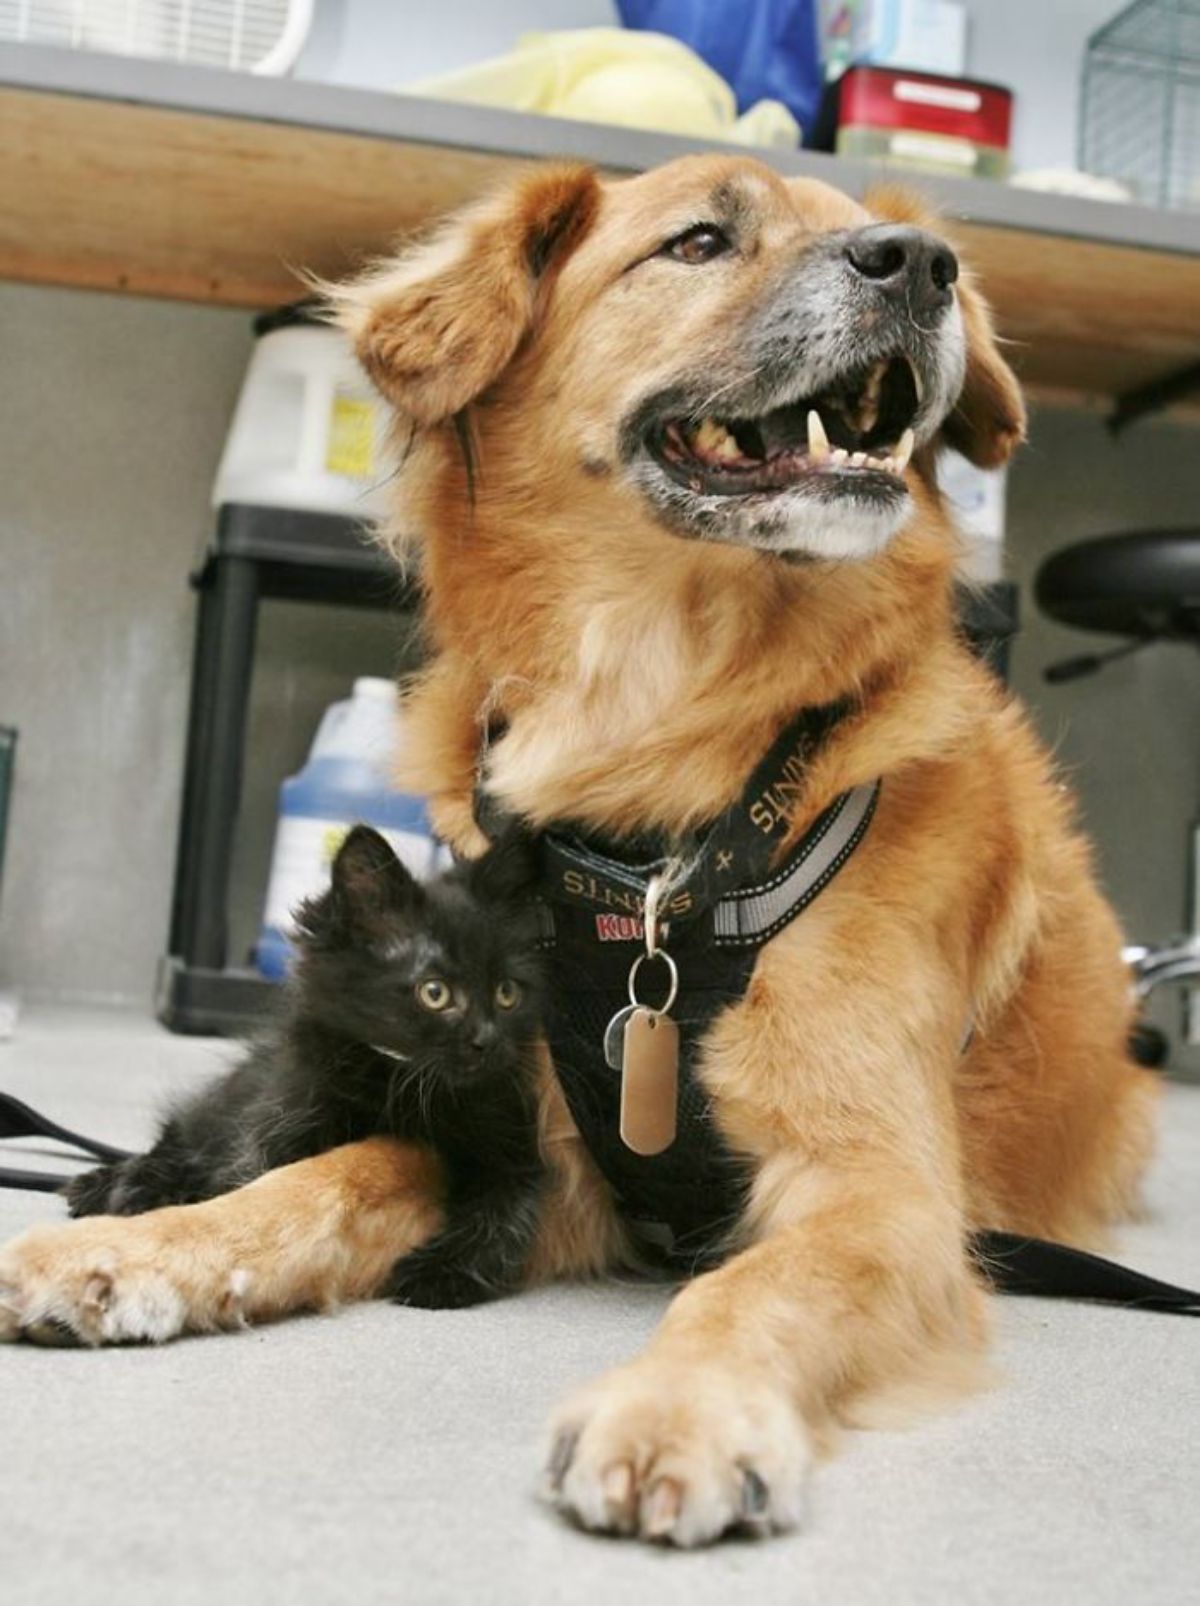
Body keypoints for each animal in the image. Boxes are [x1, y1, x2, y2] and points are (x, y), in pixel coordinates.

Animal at [67, 828, 546, 1304]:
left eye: (507, 993)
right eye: (435, 993)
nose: (487, 1040)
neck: (398, 1083)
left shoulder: (513, 1152)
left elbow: (503, 1218)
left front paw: (440, 1273)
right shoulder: (283, 1122)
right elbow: (258, 1188)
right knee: (180, 1141)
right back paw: (119, 1185)